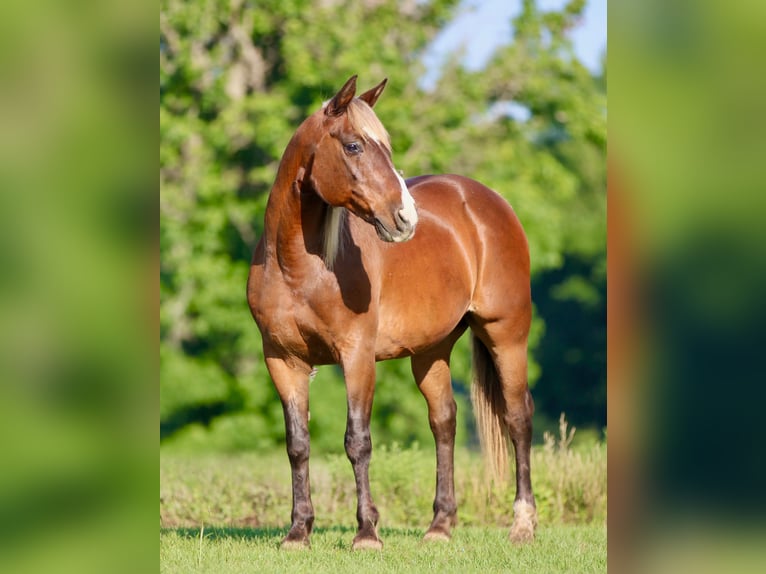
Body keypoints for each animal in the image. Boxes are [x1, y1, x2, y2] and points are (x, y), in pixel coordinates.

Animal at [247, 75, 536, 549]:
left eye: (386, 146)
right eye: (353, 146)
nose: (404, 218)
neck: (298, 268)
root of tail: (487, 200)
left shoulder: (357, 356)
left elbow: (357, 441)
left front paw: (366, 532)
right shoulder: (283, 360)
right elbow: (298, 443)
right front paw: (298, 532)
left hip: (506, 335)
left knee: (517, 418)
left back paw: (523, 524)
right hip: (431, 351)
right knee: (444, 421)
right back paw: (439, 527)